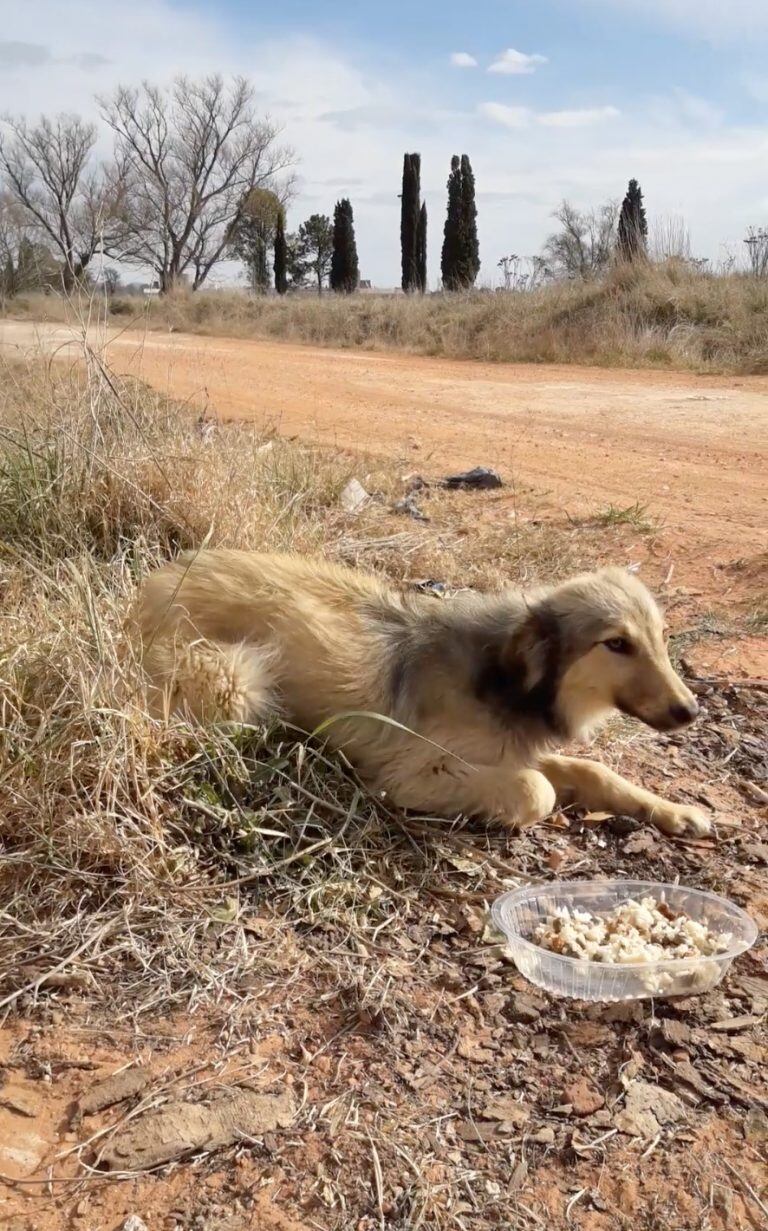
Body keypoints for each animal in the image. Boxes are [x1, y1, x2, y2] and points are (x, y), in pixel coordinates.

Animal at [131, 553, 713, 842]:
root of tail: (154, 582)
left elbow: (595, 771)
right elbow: (537, 790)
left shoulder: (514, 746)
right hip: (240, 682)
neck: (505, 676)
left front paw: (676, 811)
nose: (691, 712)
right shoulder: (409, 774)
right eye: (617, 644)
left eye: (662, 637)